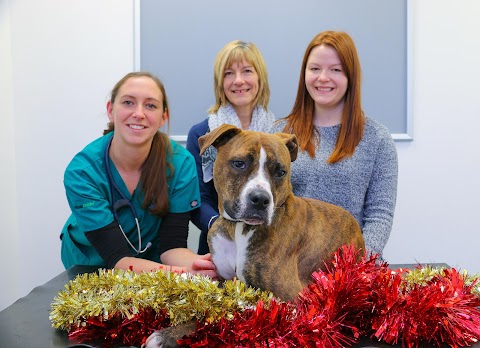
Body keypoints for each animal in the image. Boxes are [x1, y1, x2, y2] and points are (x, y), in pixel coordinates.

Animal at [144, 125, 366, 348]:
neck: (239, 229)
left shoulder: (290, 301)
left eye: (280, 172)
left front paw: (166, 336)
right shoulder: (225, 282)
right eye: (239, 163)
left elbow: (226, 313)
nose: (260, 199)